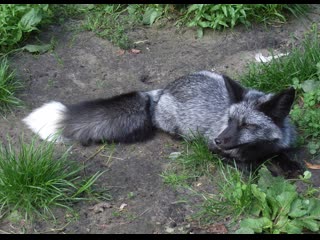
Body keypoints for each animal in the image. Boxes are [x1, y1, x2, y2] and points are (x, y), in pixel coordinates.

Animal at [22, 70, 302, 175]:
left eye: (247, 125)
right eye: (230, 120)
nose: (219, 139)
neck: (256, 148)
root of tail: (160, 91)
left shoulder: (277, 143)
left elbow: (280, 152)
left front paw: (289, 164)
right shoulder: (215, 149)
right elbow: (242, 163)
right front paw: (253, 169)